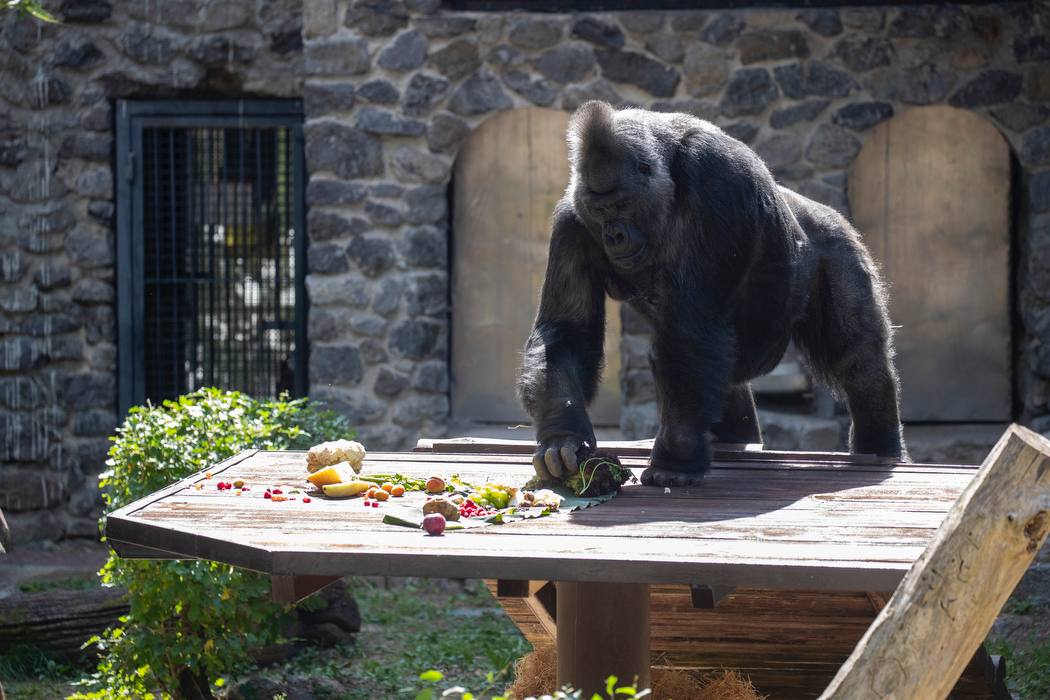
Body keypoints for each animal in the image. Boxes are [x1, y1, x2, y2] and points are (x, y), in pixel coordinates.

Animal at [514, 102, 902, 486]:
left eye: (622, 205)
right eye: (599, 210)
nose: (614, 237)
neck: (668, 175)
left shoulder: (718, 178)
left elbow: (692, 326)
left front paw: (676, 457)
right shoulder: (572, 219)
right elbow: (568, 331)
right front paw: (562, 436)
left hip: (838, 243)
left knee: (857, 359)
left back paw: (880, 446)